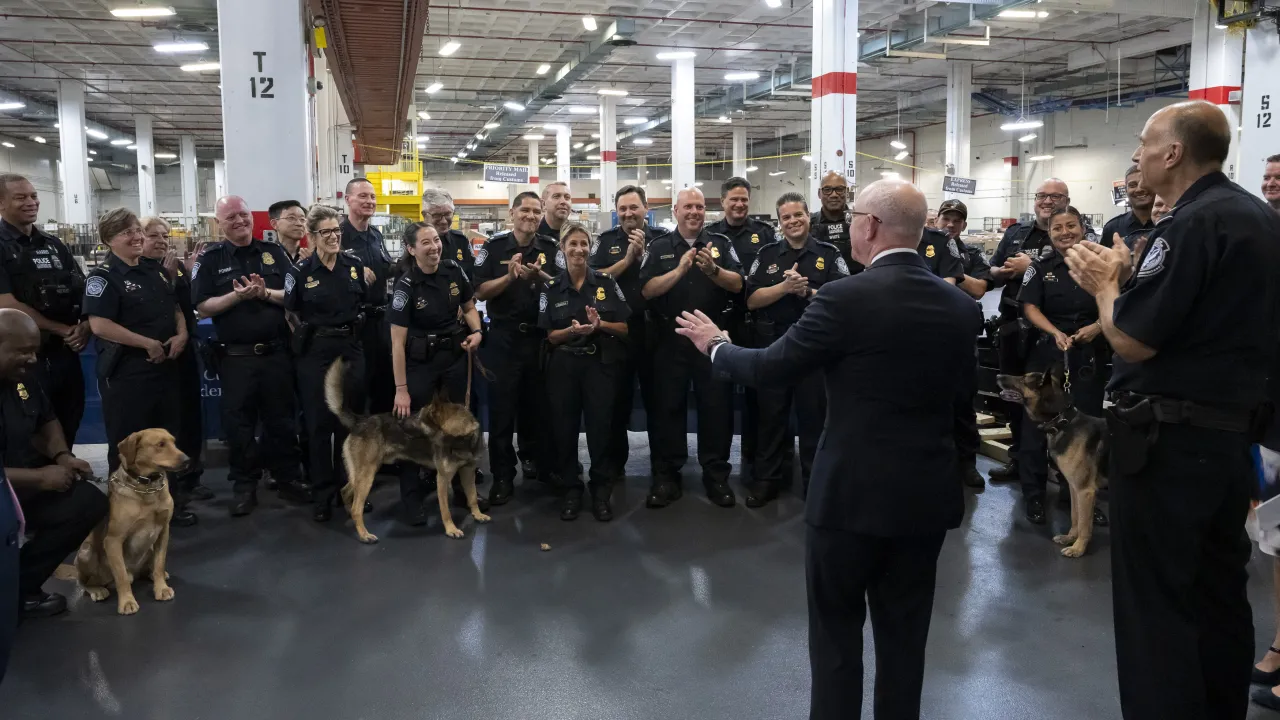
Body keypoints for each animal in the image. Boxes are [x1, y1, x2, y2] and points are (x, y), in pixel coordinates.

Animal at [325, 356, 488, 540]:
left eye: (418, 418)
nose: (401, 422)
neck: (460, 437)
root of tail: (360, 421)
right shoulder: (443, 478)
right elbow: (445, 510)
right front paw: (451, 529)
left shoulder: (468, 471)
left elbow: (472, 496)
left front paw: (477, 514)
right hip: (367, 475)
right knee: (356, 508)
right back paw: (364, 534)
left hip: (361, 475)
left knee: (346, 493)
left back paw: (351, 520)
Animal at [993, 363, 1105, 556]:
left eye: (1024, 379)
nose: (998, 376)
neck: (1062, 420)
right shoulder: (1074, 489)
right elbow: (1075, 517)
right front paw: (1069, 538)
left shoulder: (1085, 491)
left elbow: (1084, 524)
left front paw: (1078, 549)